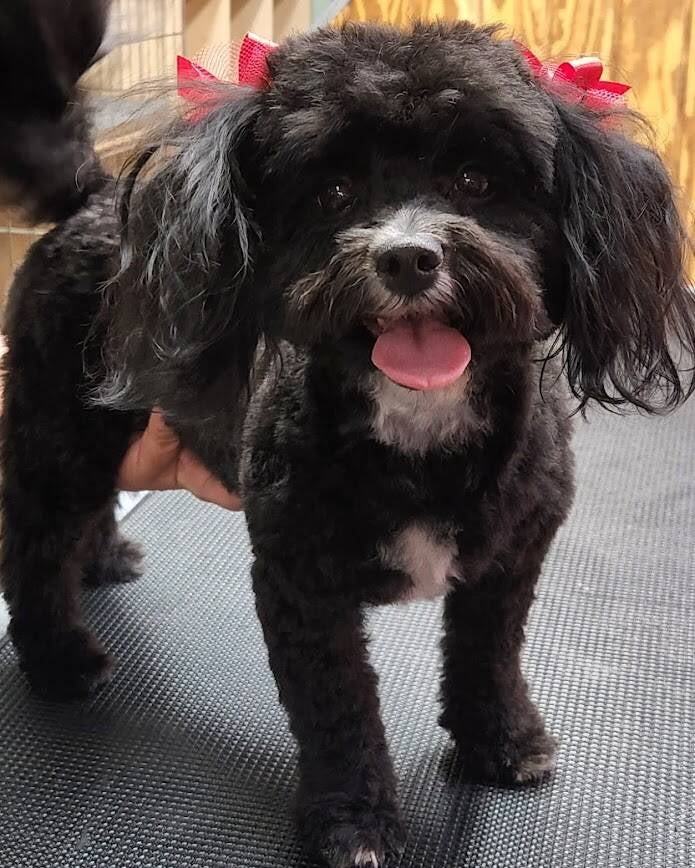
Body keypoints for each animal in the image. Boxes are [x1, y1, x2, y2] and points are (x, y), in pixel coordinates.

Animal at [2, 20, 694, 868]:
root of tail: (96, 197)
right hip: (58, 426)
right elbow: (336, 710)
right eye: (331, 193)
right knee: (36, 543)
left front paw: (502, 742)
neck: (419, 430)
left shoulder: (510, 561)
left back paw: (103, 558)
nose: (407, 256)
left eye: (475, 180)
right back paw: (59, 657)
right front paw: (353, 822)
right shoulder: (299, 585)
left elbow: (490, 656)